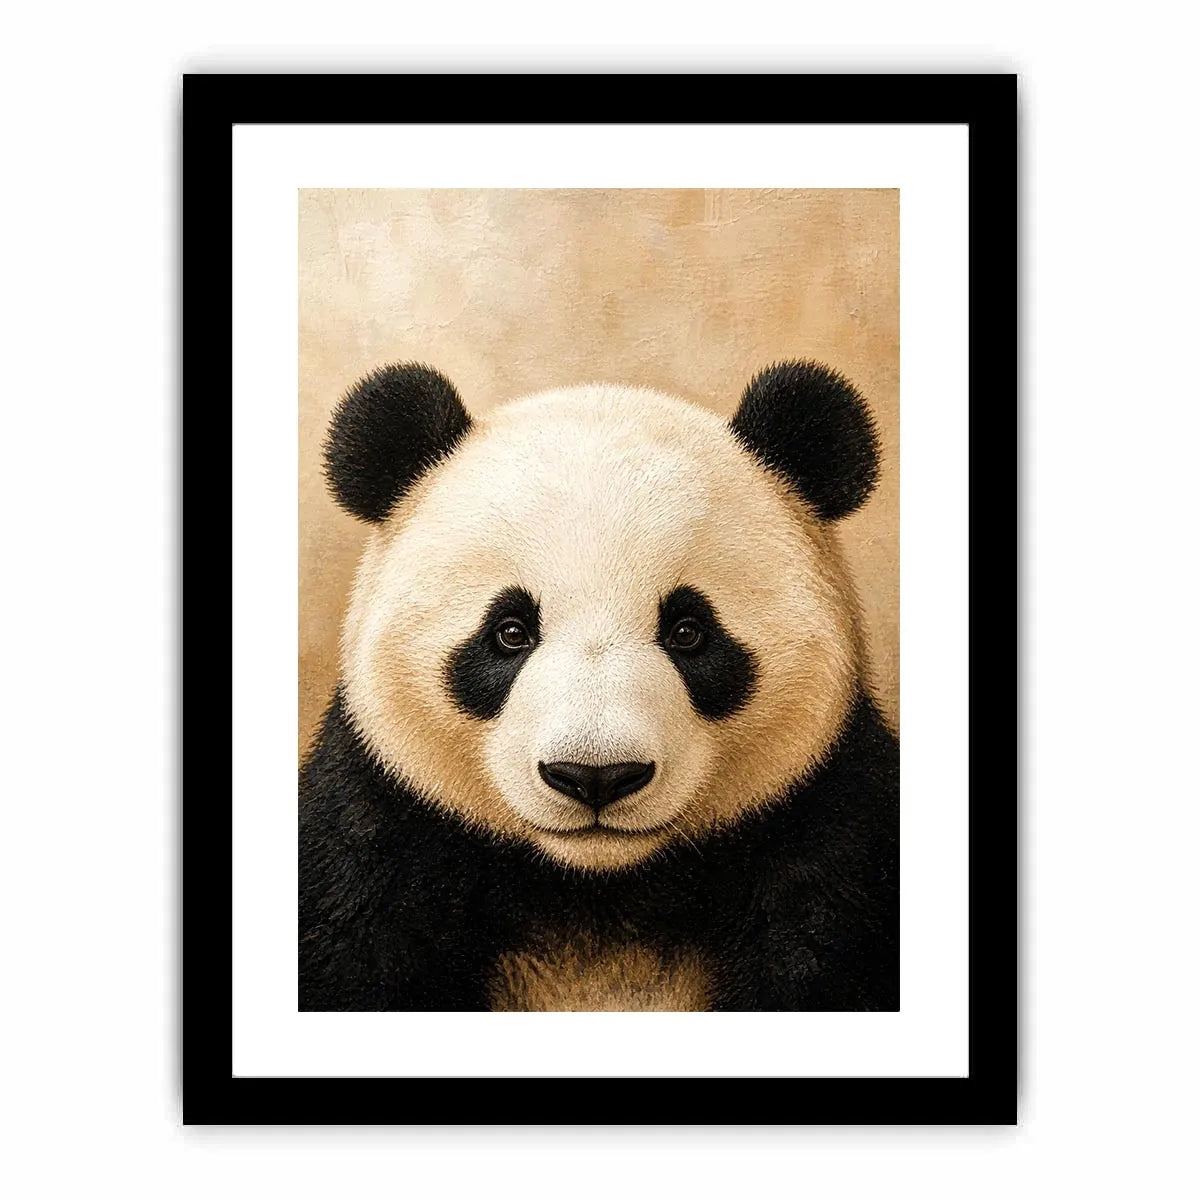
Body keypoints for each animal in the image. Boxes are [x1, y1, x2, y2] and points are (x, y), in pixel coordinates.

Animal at [300, 361, 898, 1011]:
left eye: (688, 631)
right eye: (510, 631)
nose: (596, 776)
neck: (597, 889)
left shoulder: (832, 839)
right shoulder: (375, 839)